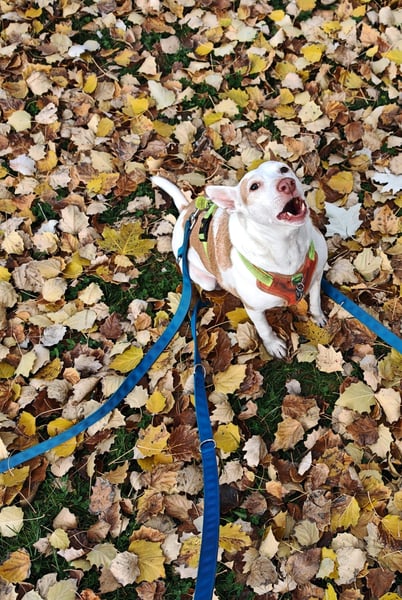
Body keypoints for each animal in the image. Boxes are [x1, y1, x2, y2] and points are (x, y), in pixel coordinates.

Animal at [152, 161, 327, 358]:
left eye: (283, 169)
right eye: (254, 187)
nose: (287, 184)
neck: (288, 245)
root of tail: (185, 213)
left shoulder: (316, 277)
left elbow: (315, 301)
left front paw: (318, 316)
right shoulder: (254, 309)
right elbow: (264, 329)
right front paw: (273, 345)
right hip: (206, 281)